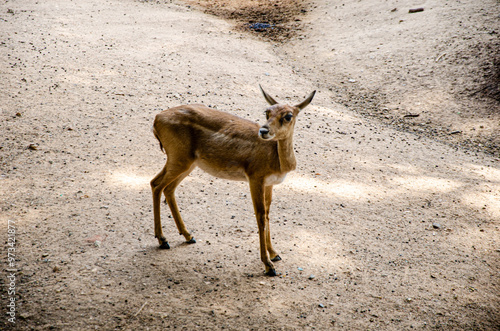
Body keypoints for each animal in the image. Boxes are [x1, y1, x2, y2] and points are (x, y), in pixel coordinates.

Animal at [150, 84, 316, 276]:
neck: (277, 160)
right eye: (267, 112)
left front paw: (275, 254)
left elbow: (267, 214)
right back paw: (163, 240)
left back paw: (188, 236)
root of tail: (156, 120)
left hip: (188, 163)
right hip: (179, 157)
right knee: (156, 184)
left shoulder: (269, 183)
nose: (264, 130)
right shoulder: (255, 176)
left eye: (288, 116)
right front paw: (268, 265)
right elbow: (260, 216)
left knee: (168, 188)